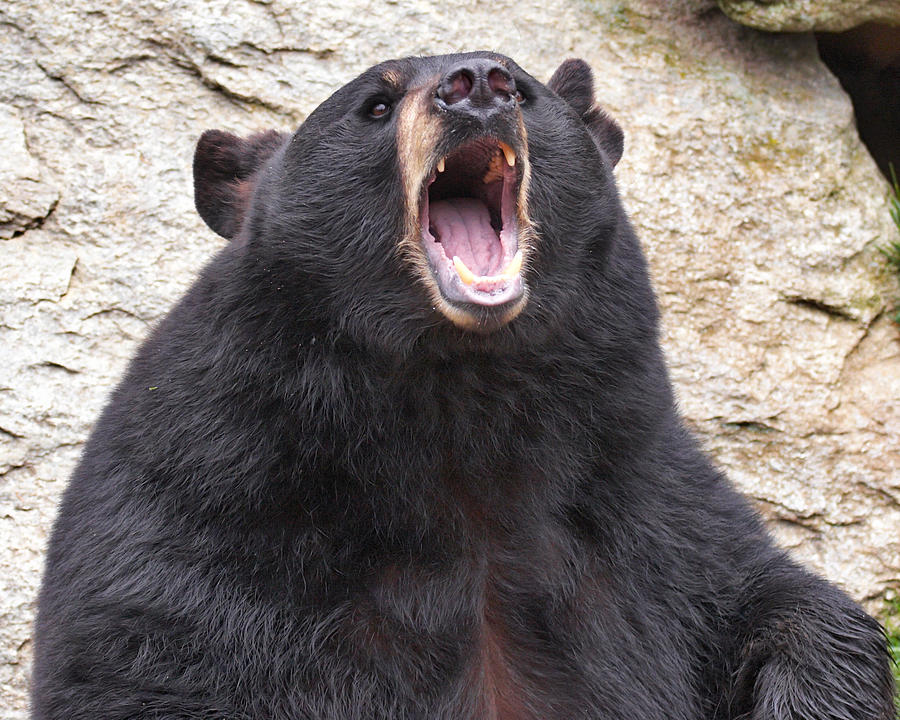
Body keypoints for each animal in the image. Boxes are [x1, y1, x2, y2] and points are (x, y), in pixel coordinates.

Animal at [31, 52, 896, 720]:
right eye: (376, 103)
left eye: (526, 87)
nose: (477, 81)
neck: (462, 405)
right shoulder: (206, 505)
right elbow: (149, 664)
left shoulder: (637, 499)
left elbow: (774, 601)